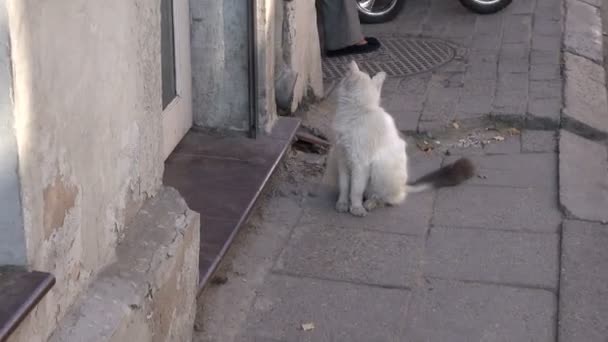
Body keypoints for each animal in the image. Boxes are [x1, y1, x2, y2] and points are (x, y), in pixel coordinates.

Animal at [328, 60, 476, 216]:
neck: (354, 113)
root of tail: (403, 186)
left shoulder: (360, 163)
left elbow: (355, 190)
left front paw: (356, 208)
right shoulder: (342, 159)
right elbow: (345, 187)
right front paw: (343, 204)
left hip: (380, 169)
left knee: (386, 197)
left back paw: (371, 203)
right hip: (333, 159)